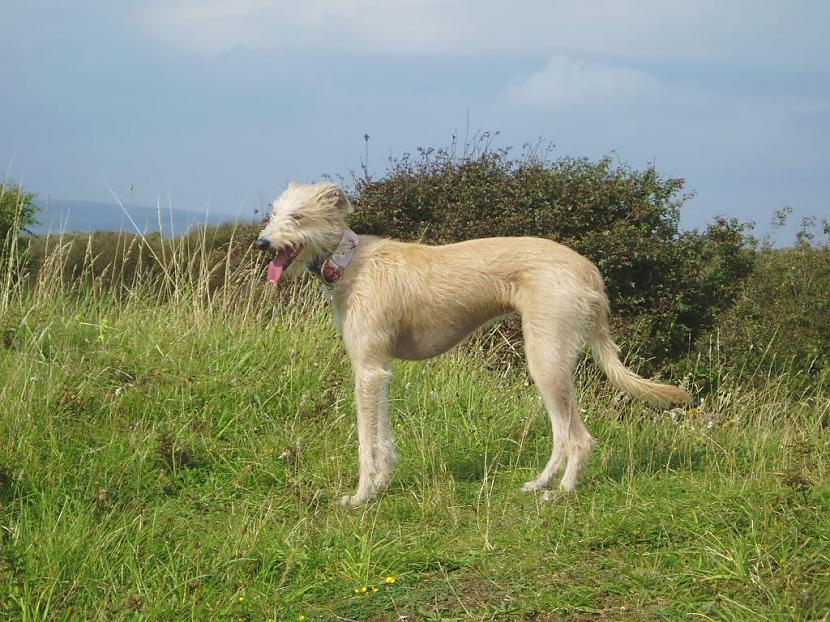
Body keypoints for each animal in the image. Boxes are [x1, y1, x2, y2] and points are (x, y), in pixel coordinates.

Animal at [256, 180, 692, 508]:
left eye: (297, 217)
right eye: (273, 213)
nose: (261, 243)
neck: (351, 262)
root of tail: (589, 271)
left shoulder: (367, 369)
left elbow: (367, 439)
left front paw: (361, 496)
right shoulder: (379, 371)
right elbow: (383, 435)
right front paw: (381, 485)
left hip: (547, 359)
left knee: (579, 438)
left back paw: (563, 493)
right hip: (547, 362)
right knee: (561, 434)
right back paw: (541, 483)